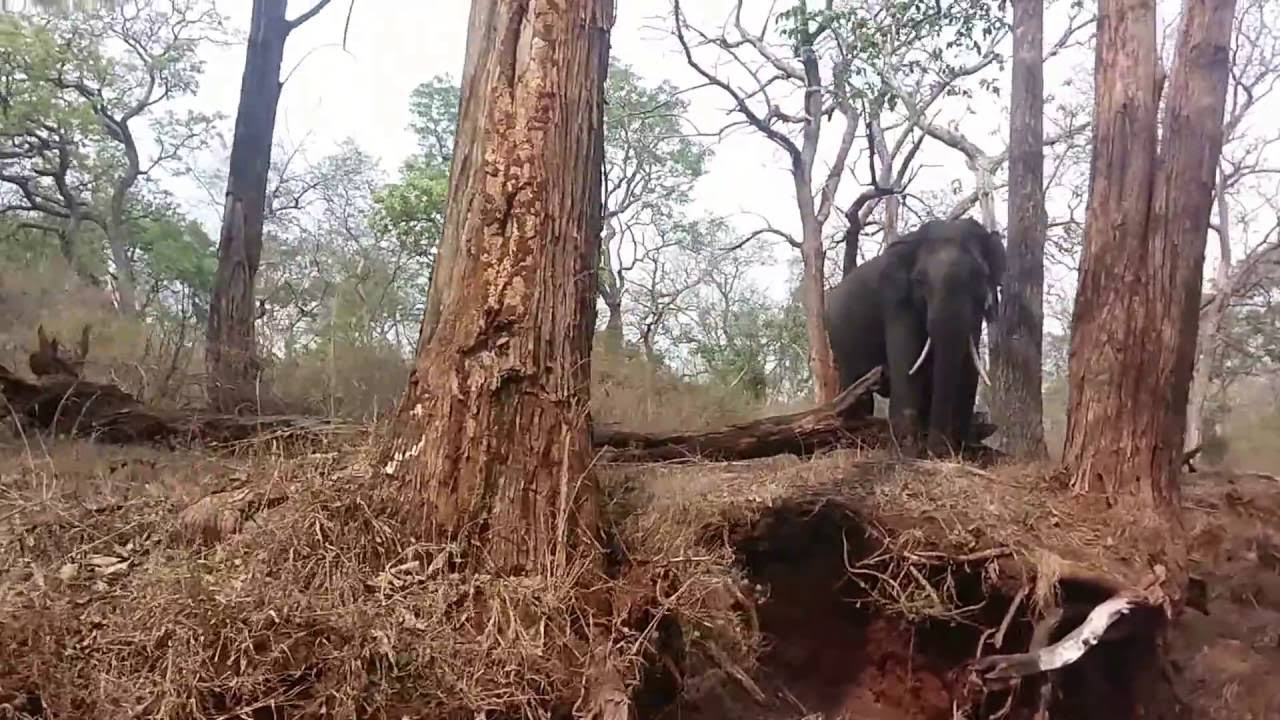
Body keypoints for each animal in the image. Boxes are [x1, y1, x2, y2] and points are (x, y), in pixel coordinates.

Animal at [824, 217, 1006, 457]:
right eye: (920, 280)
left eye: (980, 276)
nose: (939, 451)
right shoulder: (896, 303)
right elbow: (907, 365)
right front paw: (908, 453)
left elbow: (967, 366)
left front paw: (961, 450)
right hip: (840, 342)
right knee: (855, 390)